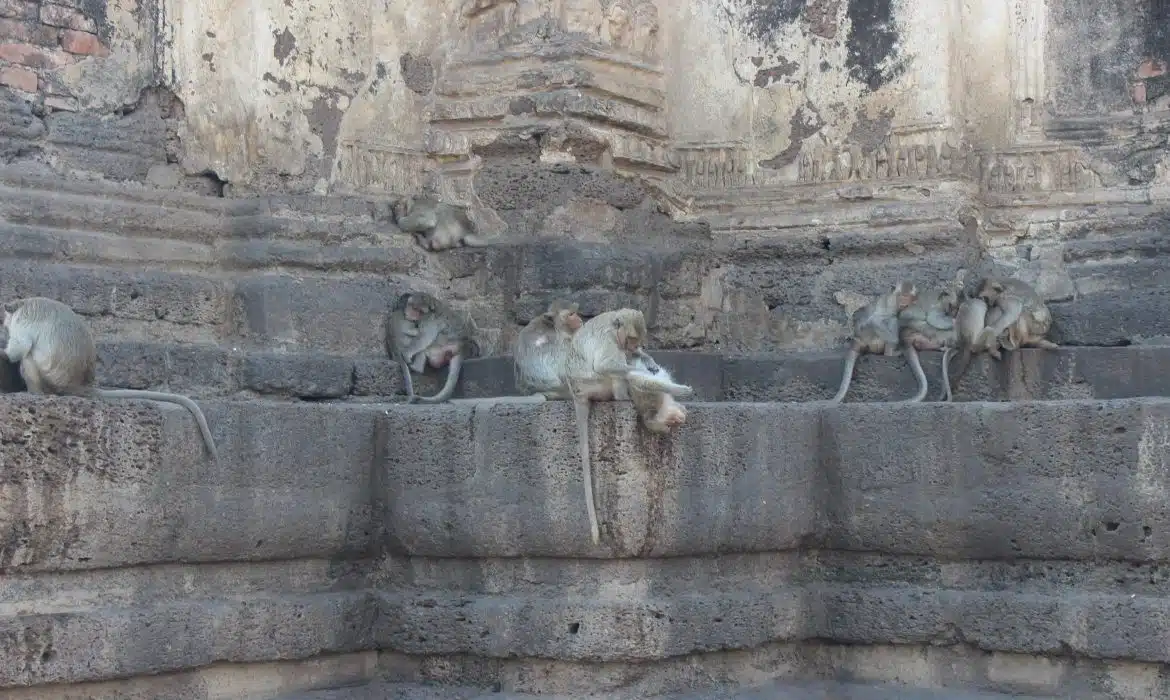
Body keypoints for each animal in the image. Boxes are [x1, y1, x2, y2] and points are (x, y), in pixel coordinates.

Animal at [559, 309, 692, 545]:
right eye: (630, 338)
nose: (631, 348)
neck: (614, 324)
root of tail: (576, 392)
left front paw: (646, 358)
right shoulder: (609, 339)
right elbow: (610, 367)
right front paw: (677, 389)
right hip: (594, 384)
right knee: (615, 373)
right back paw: (623, 396)